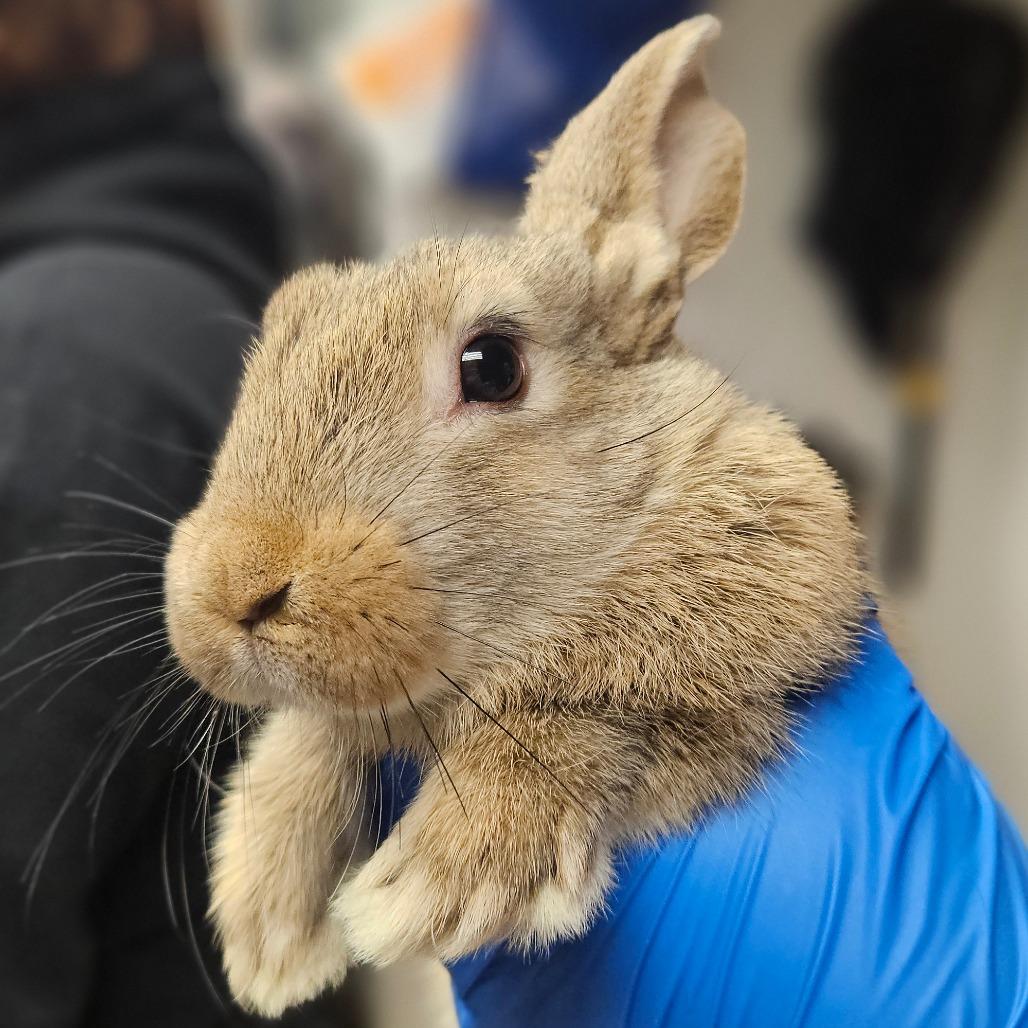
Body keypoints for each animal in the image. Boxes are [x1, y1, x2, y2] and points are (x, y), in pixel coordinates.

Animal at [163, 15, 866, 1017]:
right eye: (284, 325)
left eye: (491, 365)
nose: (230, 593)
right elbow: (319, 731)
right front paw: (268, 923)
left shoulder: (742, 679)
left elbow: (590, 712)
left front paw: (446, 877)